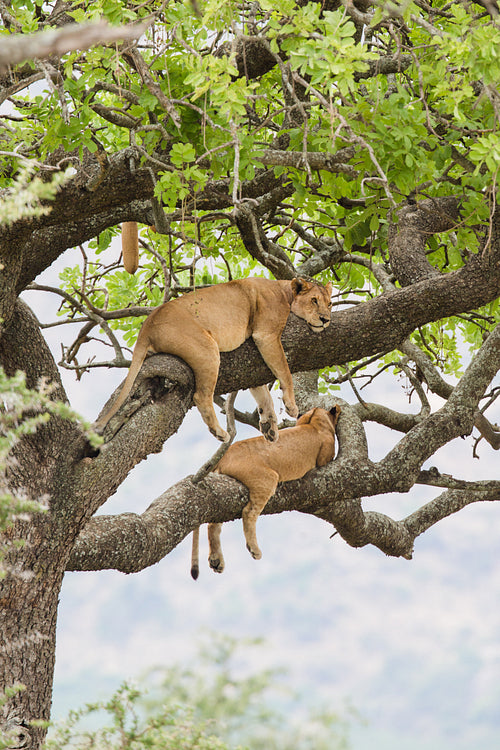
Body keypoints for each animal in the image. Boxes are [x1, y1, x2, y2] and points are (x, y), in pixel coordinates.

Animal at [95, 276, 334, 440]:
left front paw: (269, 425)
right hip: (207, 348)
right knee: (201, 396)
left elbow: (262, 393)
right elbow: (285, 371)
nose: (326, 319)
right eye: (314, 300)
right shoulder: (266, 335)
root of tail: (147, 324)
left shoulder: (254, 359)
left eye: (329, 303)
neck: (284, 292)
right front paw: (291, 405)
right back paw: (219, 432)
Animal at [190, 408, 340, 580]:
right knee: (248, 512)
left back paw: (216, 561)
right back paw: (254, 549)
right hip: (268, 478)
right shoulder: (325, 455)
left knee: (213, 525)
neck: (313, 422)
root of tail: (224, 456)